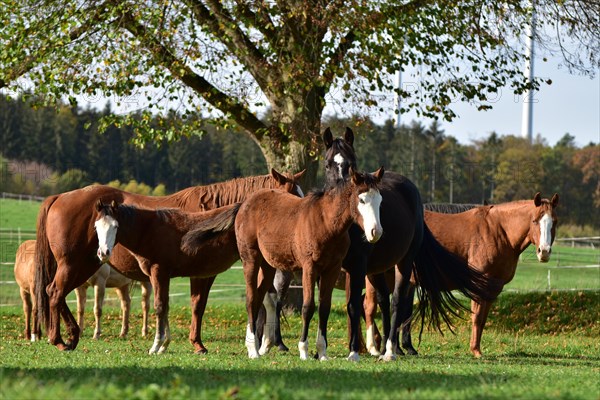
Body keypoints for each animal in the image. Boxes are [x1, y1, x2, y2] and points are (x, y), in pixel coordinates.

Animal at [93, 200, 244, 354]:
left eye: (115, 226)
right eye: (96, 226)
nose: (103, 253)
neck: (149, 230)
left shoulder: (159, 272)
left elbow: (159, 306)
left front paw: (156, 346)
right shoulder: (158, 276)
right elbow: (165, 305)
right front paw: (164, 345)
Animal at [236, 167, 384, 360]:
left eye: (380, 200)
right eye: (362, 199)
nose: (376, 232)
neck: (326, 223)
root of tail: (247, 203)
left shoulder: (332, 269)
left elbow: (324, 307)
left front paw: (322, 353)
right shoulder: (309, 268)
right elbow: (308, 307)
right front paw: (304, 350)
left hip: (268, 266)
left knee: (260, 297)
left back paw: (252, 345)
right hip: (251, 259)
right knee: (251, 298)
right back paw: (254, 350)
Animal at [316, 128, 500, 362]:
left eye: (352, 163)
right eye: (327, 164)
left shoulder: (356, 268)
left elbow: (353, 305)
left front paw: (354, 351)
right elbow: (324, 304)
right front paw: (318, 352)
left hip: (403, 263)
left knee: (397, 301)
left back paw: (390, 350)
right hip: (378, 268)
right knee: (383, 301)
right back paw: (386, 346)